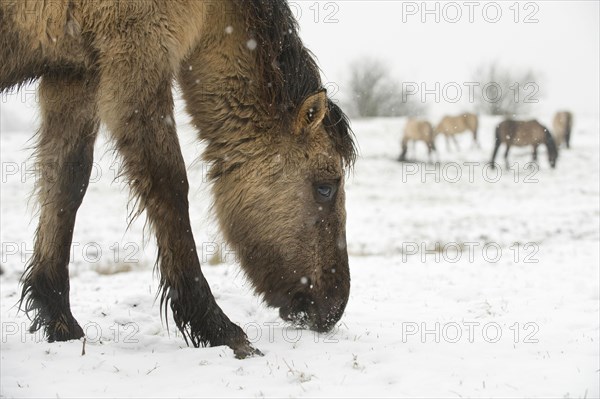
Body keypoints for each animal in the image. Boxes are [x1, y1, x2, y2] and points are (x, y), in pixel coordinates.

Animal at [0, 0, 356, 360]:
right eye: (325, 187)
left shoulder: (73, 75)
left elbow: (65, 184)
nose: (334, 309)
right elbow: (170, 186)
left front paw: (58, 319)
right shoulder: (137, 58)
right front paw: (216, 327)